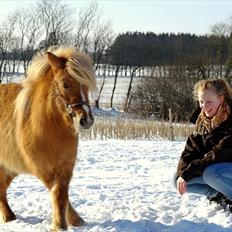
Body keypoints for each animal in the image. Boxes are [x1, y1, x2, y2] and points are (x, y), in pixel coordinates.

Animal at [0, 47, 96, 230]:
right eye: (65, 84)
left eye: (86, 85)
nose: (86, 120)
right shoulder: (42, 168)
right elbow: (57, 193)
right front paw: (60, 224)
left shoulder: (66, 166)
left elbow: (63, 195)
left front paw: (74, 221)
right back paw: (8, 217)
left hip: (10, 168)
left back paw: (10, 216)